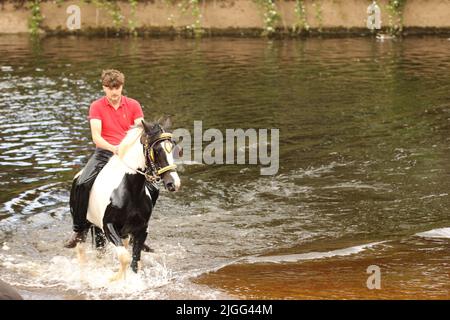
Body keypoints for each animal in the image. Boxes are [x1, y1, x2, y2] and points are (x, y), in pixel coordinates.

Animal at [73, 118, 180, 280]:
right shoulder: (108, 226)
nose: (173, 183)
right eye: (156, 150)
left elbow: (135, 260)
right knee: (81, 249)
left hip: (112, 231)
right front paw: (113, 280)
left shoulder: (141, 229)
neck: (130, 190)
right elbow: (125, 258)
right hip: (84, 225)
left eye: (172, 148)